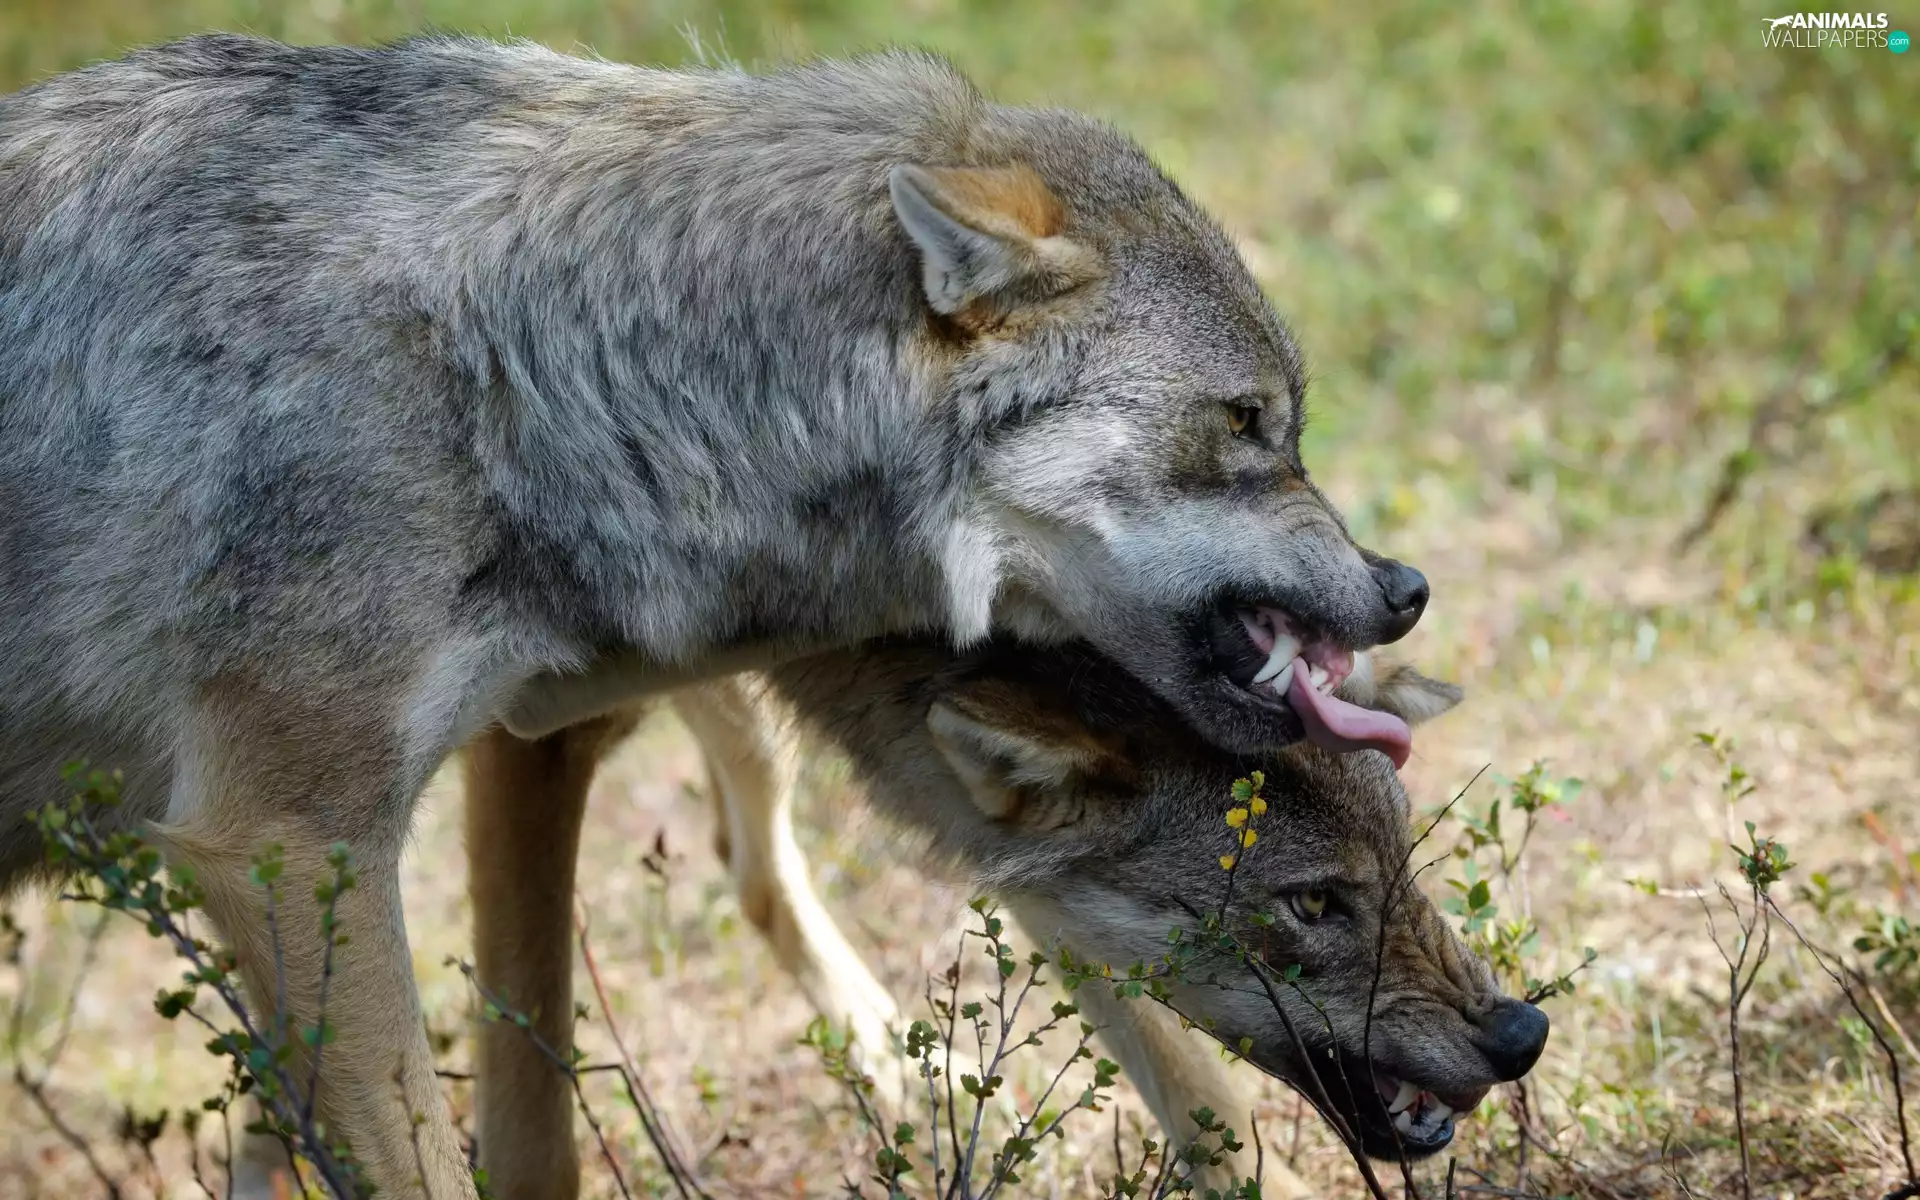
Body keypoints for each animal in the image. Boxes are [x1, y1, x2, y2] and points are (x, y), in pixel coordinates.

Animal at [1, 34, 1432, 1197]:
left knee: (754, 862)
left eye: (1284, 422)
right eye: (1247, 423)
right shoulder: (285, 841)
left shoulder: (526, 735)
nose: (1405, 590)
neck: (541, 354)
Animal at [452, 645, 1545, 1200]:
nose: (1522, 1033)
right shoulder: (517, 736)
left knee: (749, 868)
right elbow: (529, 1127)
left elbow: (1206, 1105)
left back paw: (896, 1060)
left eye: (1404, 857)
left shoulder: (1014, 853)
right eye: (1314, 902)